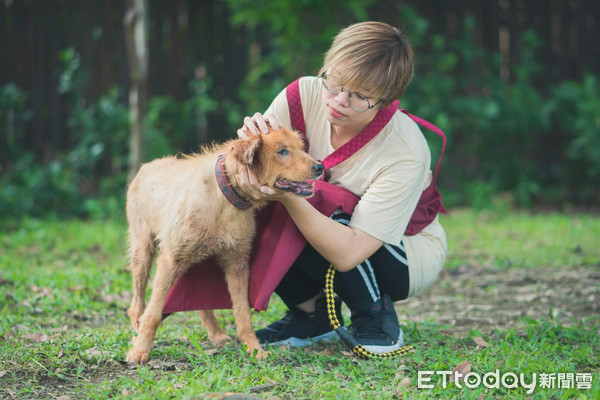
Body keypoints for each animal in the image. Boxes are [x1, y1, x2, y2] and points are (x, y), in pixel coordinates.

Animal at [125, 126, 326, 364]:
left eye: (301, 148)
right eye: (282, 151)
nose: (320, 167)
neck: (226, 196)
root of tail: (146, 166)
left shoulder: (238, 264)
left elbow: (244, 315)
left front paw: (254, 349)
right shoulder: (171, 260)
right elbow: (154, 313)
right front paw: (140, 351)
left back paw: (216, 334)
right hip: (143, 252)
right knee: (137, 305)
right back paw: (136, 333)